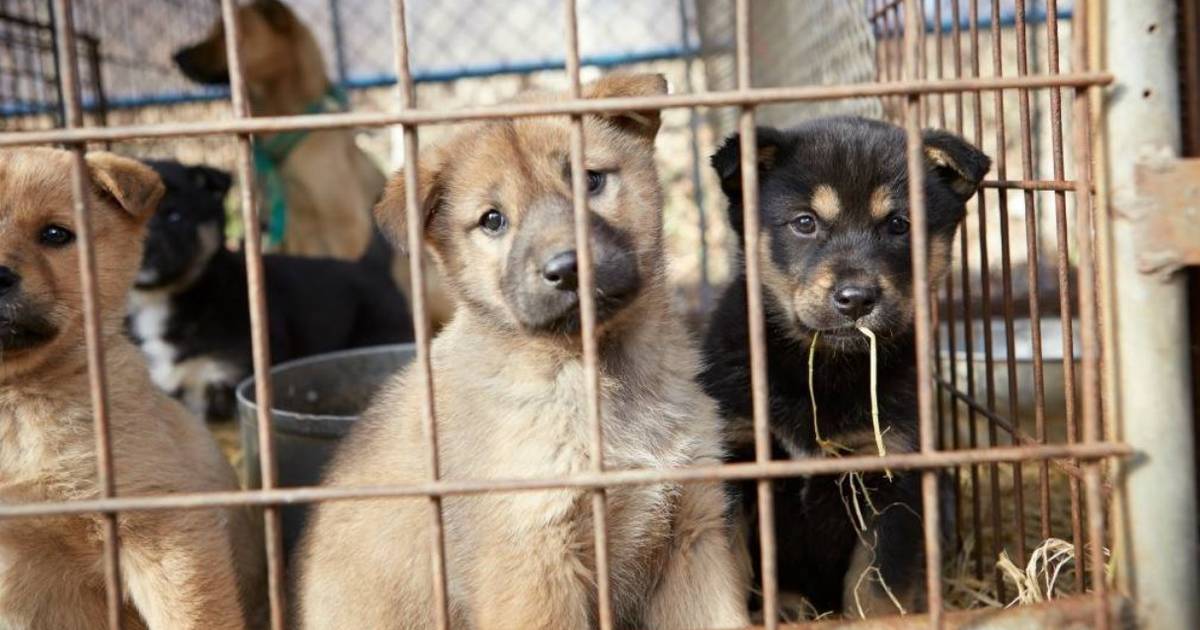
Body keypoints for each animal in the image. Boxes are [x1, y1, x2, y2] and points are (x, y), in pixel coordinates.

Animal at [291, 75, 748, 628]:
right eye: (493, 220)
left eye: (591, 181)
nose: (568, 267)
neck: (600, 372)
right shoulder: (533, 562)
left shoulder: (692, 535)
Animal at [700, 116, 988, 619]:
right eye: (805, 222)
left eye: (899, 224)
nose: (856, 299)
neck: (822, 368)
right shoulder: (737, 461)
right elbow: (730, 572)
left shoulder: (892, 476)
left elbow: (877, 587)